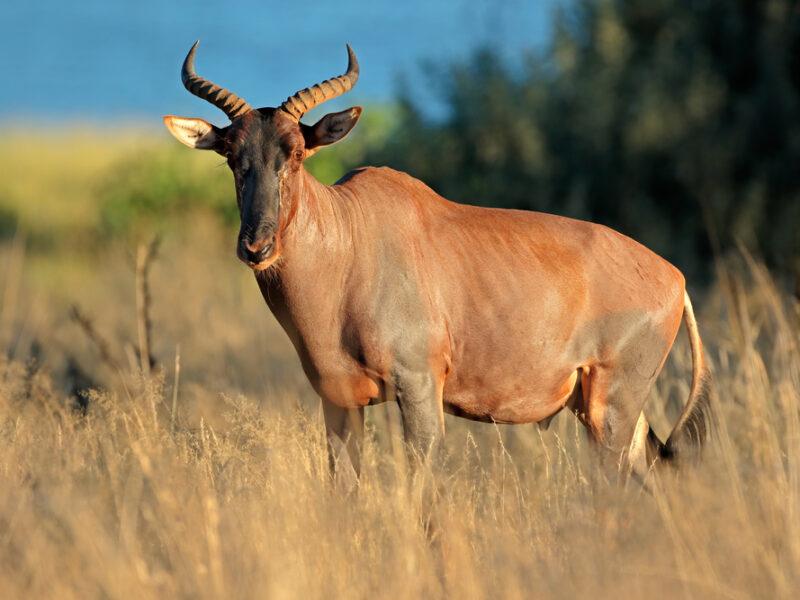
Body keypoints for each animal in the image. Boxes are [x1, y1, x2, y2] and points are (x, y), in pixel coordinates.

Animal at [164, 42, 712, 487]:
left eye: (297, 152)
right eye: (231, 154)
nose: (256, 247)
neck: (351, 239)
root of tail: (675, 278)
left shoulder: (420, 388)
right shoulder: (338, 401)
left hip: (610, 408)